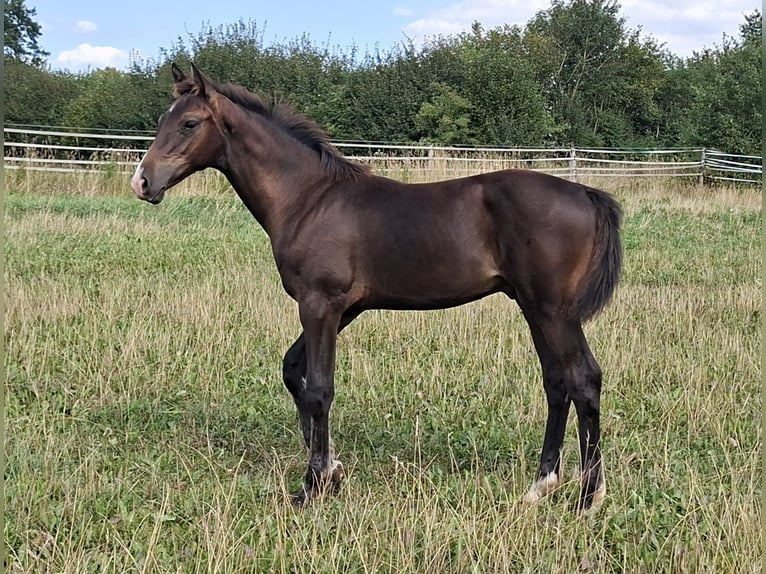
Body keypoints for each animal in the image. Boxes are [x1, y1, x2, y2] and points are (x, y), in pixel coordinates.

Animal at [131, 63, 622, 512]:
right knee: (556, 382)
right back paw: (541, 485)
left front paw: (311, 487)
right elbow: (293, 370)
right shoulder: (345, 308)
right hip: (532, 306)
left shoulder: (320, 303)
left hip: (554, 310)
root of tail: (586, 194)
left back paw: (588, 498)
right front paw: (332, 469)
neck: (307, 198)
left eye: (189, 123)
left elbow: (319, 388)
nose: (142, 181)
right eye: (162, 120)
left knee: (584, 379)